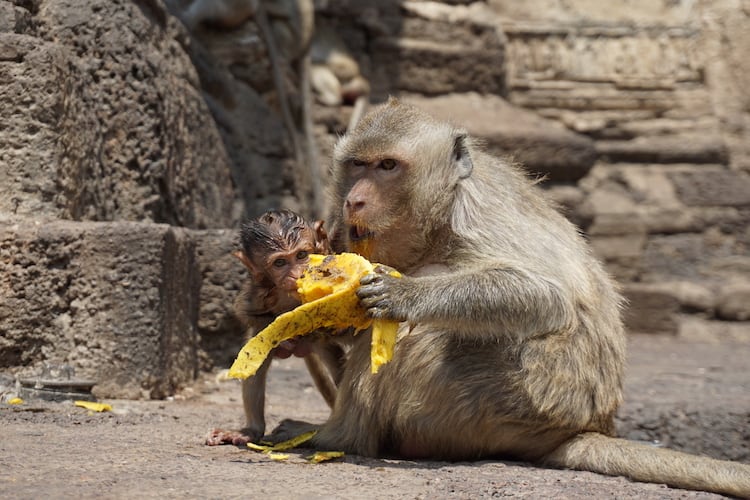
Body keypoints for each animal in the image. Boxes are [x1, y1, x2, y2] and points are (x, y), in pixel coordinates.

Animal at [207, 208, 346, 446]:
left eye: (302, 255)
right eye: (280, 263)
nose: (298, 275)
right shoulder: (259, 292)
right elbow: (258, 323)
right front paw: (287, 339)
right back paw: (251, 430)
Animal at [276, 99, 750, 498]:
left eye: (387, 166)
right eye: (358, 165)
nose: (354, 200)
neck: (439, 212)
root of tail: (581, 427)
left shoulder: (475, 214)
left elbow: (545, 296)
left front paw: (404, 293)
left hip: (510, 403)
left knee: (422, 332)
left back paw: (340, 436)